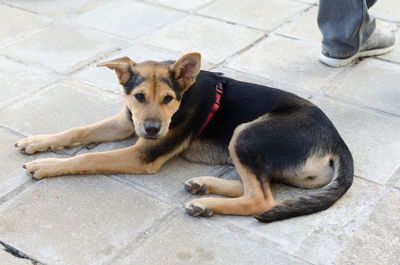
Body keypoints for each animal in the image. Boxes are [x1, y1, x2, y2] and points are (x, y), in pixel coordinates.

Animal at [14, 52, 354, 222]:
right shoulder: (128, 121)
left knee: (261, 198)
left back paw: (205, 202)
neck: (183, 96)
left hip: (246, 133)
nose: (153, 131)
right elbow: (78, 131)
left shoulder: (142, 155)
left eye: (168, 99)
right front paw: (36, 142)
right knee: (260, 184)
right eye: (138, 97)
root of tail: (337, 141)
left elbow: (89, 157)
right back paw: (203, 186)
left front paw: (46, 165)